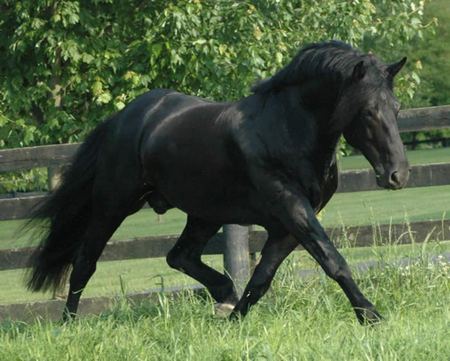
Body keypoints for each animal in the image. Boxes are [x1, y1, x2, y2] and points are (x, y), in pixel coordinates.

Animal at [26, 40, 410, 322]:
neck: (287, 130)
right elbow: (333, 260)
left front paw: (235, 319)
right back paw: (68, 324)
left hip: (204, 214)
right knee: (84, 263)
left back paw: (224, 295)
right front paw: (371, 316)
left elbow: (261, 278)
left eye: (396, 108)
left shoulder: (287, 224)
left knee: (179, 256)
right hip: (113, 205)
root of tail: (124, 118)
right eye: (367, 112)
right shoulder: (293, 209)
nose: (398, 174)